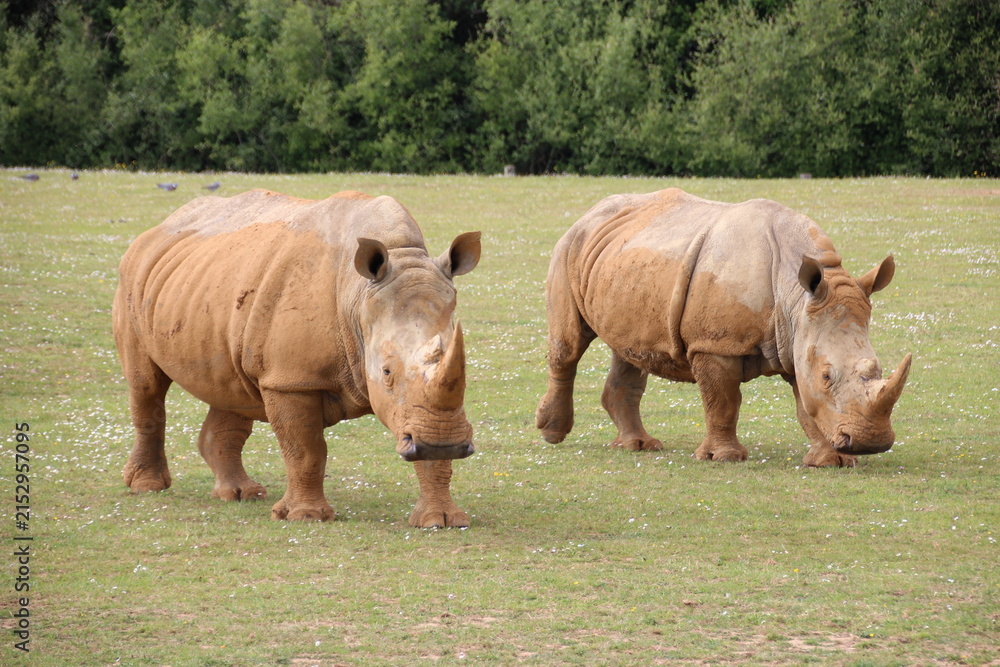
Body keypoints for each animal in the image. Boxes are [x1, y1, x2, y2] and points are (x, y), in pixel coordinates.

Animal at [113, 189, 481, 525]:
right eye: (386, 372)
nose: (446, 444)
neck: (358, 295)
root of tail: (161, 226)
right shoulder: (289, 379)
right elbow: (305, 450)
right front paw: (306, 516)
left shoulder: (423, 415)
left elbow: (424, 443)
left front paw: (442, 520)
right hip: (132, 277)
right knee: (146, 385)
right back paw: (148, 487)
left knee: (232, 390)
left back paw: (241, 494)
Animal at [536, 189, 911, 467]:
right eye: (827, 376)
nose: (870, 443)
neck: (794, 296)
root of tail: (590, 213)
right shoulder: (714, 344)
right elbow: (723, 400)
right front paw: (724, 457)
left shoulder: (799, 338)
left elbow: (806, 404)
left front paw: (831, 461)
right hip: (569, 248)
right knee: (569, 346)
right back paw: (552, 433)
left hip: (622, 261)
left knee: (628, 350)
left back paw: (639, 446)